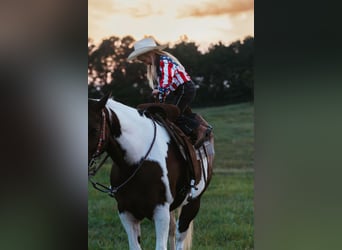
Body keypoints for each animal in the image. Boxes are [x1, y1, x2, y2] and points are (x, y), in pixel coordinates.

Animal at [87, 93, 214, 249]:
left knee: (180, 237)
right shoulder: (126, 212)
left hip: (192, 204)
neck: (138, 159)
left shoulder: (161, 212)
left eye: (94, 129)